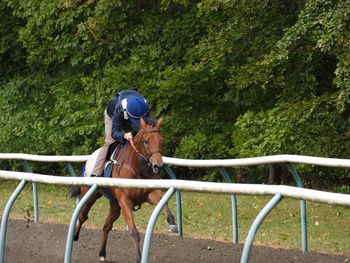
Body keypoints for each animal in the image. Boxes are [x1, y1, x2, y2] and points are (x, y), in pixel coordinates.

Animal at [72, 118, 179, 262]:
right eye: (146, 141)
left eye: (162, 140)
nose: (158, 165)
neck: (138, 168)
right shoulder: (125, 201)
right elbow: (134, 233)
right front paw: (139, 258)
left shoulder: (150, 194)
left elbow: (163, 202)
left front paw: (172, 223)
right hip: (90, 195)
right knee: (83, 216)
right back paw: (75, 236)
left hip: (115, 204)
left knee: (106, 226)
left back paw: (102, 253)